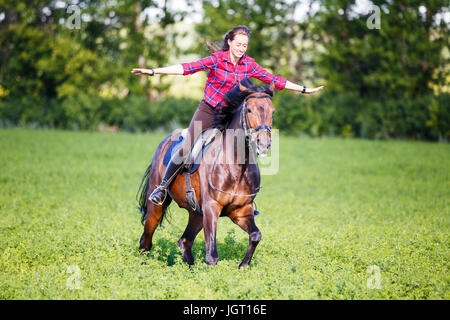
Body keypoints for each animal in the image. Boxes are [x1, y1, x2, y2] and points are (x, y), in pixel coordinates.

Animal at [134, 78, 274, 268]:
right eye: (249, 109)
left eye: (272, 111)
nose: (264, 143)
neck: (237, 165)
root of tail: (164, 142)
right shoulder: (211, 208)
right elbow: (212, 255)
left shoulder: (241, 210)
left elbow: (255, 236)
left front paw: (243, 266)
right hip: (157, 207)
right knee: (146, 240)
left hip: (197, 213)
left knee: (184, 241)